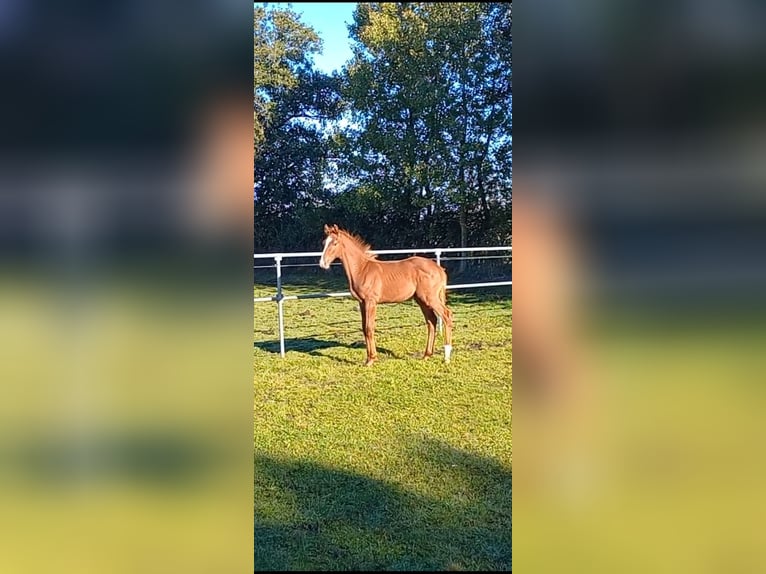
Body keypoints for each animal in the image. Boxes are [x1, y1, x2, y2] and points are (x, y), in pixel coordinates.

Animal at [320, 224, 456, 364]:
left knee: (446, 315)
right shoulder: (362, 303)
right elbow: (364, 328)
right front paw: (369, 358)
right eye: (324, 243)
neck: (362, 269)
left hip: (430, 298)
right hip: (421, 300)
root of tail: (440, 269)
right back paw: (427, 355)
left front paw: (371, 360)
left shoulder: (371, 302)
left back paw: (446, 357)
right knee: (431, 321)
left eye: (335, 243)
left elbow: (369, 328)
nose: (323, 264)